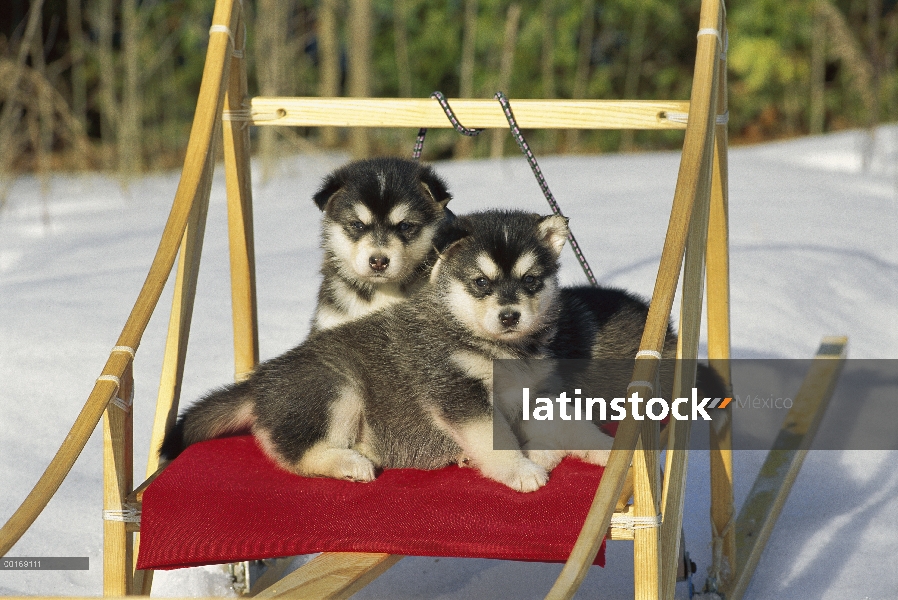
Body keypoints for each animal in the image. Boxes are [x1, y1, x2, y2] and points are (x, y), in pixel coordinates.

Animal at [159, 211, 608, 492]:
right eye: (481, 283)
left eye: (531, 281)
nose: (510, 315)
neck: (501, 348)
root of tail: (258, 381)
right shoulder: (457, 391)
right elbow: (492, 436)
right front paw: (519, 471)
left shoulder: (537, 393)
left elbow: (573, 424)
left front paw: (604, 447)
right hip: (338, 386)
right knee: (295, 453)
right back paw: (350, 463)